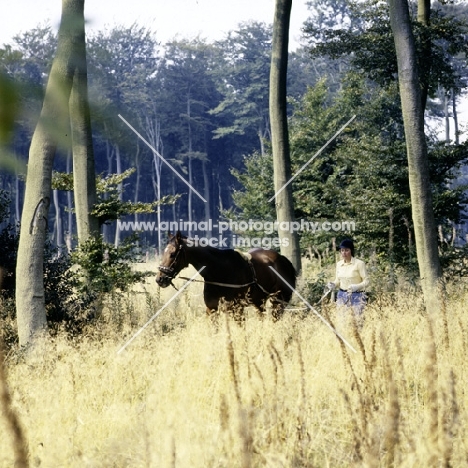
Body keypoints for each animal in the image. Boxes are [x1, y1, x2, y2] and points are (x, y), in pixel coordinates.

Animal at [156, 232, 296, 320]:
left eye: (172, 254)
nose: (160, 279)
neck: (219, 272)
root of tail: (283, 259)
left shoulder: (236, 309)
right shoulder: (212, 309)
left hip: (279, 301)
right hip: (259, 302)